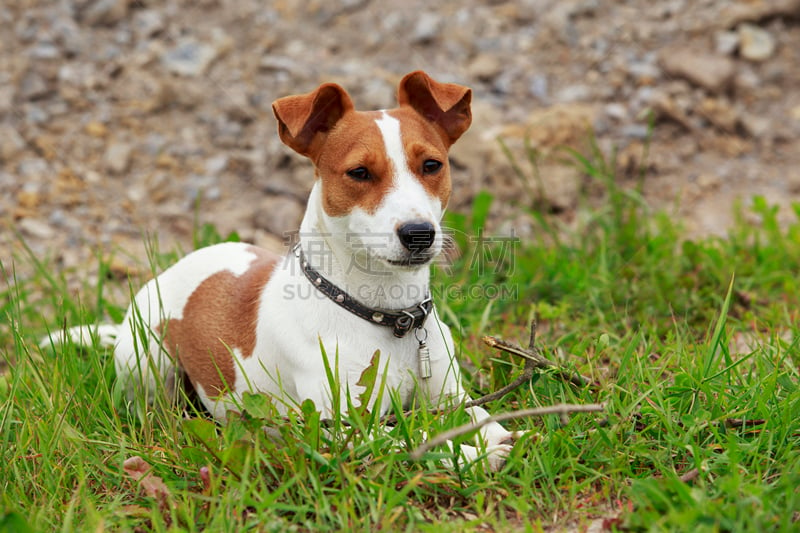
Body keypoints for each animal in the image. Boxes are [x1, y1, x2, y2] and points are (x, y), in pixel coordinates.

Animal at [53, 71, 520, 470]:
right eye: (359, 172)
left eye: (432, 166)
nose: (419, 234)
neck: (385, 316)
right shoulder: (340, 429)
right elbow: (409, 442)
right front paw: (471, 456)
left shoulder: (450, 394)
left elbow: (480, 418)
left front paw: (492, 438)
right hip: (146, 364)